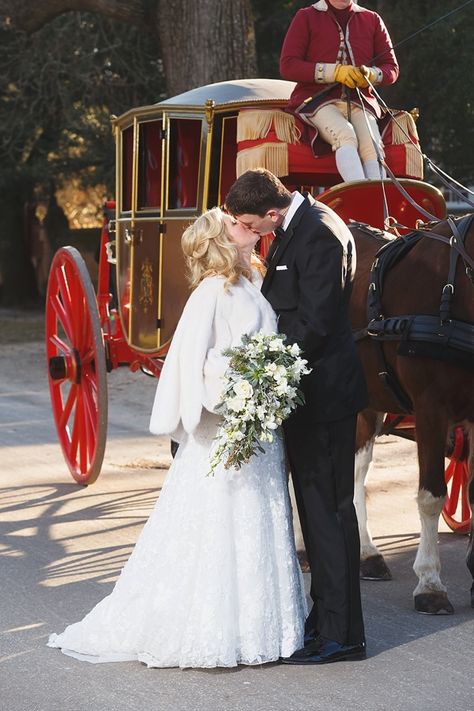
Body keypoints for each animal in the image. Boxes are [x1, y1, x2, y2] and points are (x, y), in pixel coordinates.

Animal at [348, 214, 474, 616]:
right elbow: (431, 495)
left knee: (355, 470)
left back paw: (367, 554)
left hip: (366, 404)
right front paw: (430, 584)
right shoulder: (431, 408)